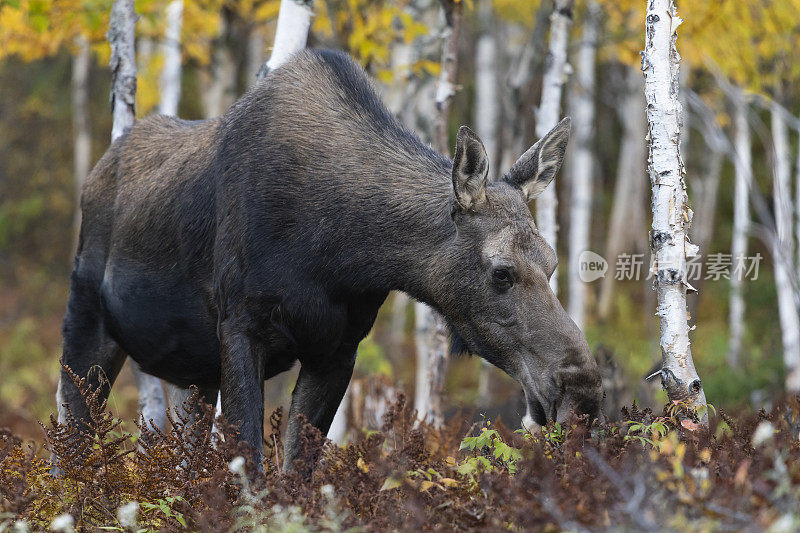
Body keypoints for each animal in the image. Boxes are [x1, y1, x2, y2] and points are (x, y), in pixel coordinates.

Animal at [57, 47, 600, 468]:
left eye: (552, 263)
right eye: (501, 273)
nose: (584, 393)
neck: (343, 250)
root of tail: (95, 173)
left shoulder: (338, 348)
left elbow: (295, 475)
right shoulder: (241, 327)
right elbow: (251, 469)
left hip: (192, 374)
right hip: (86, 329)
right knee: (69, 453)